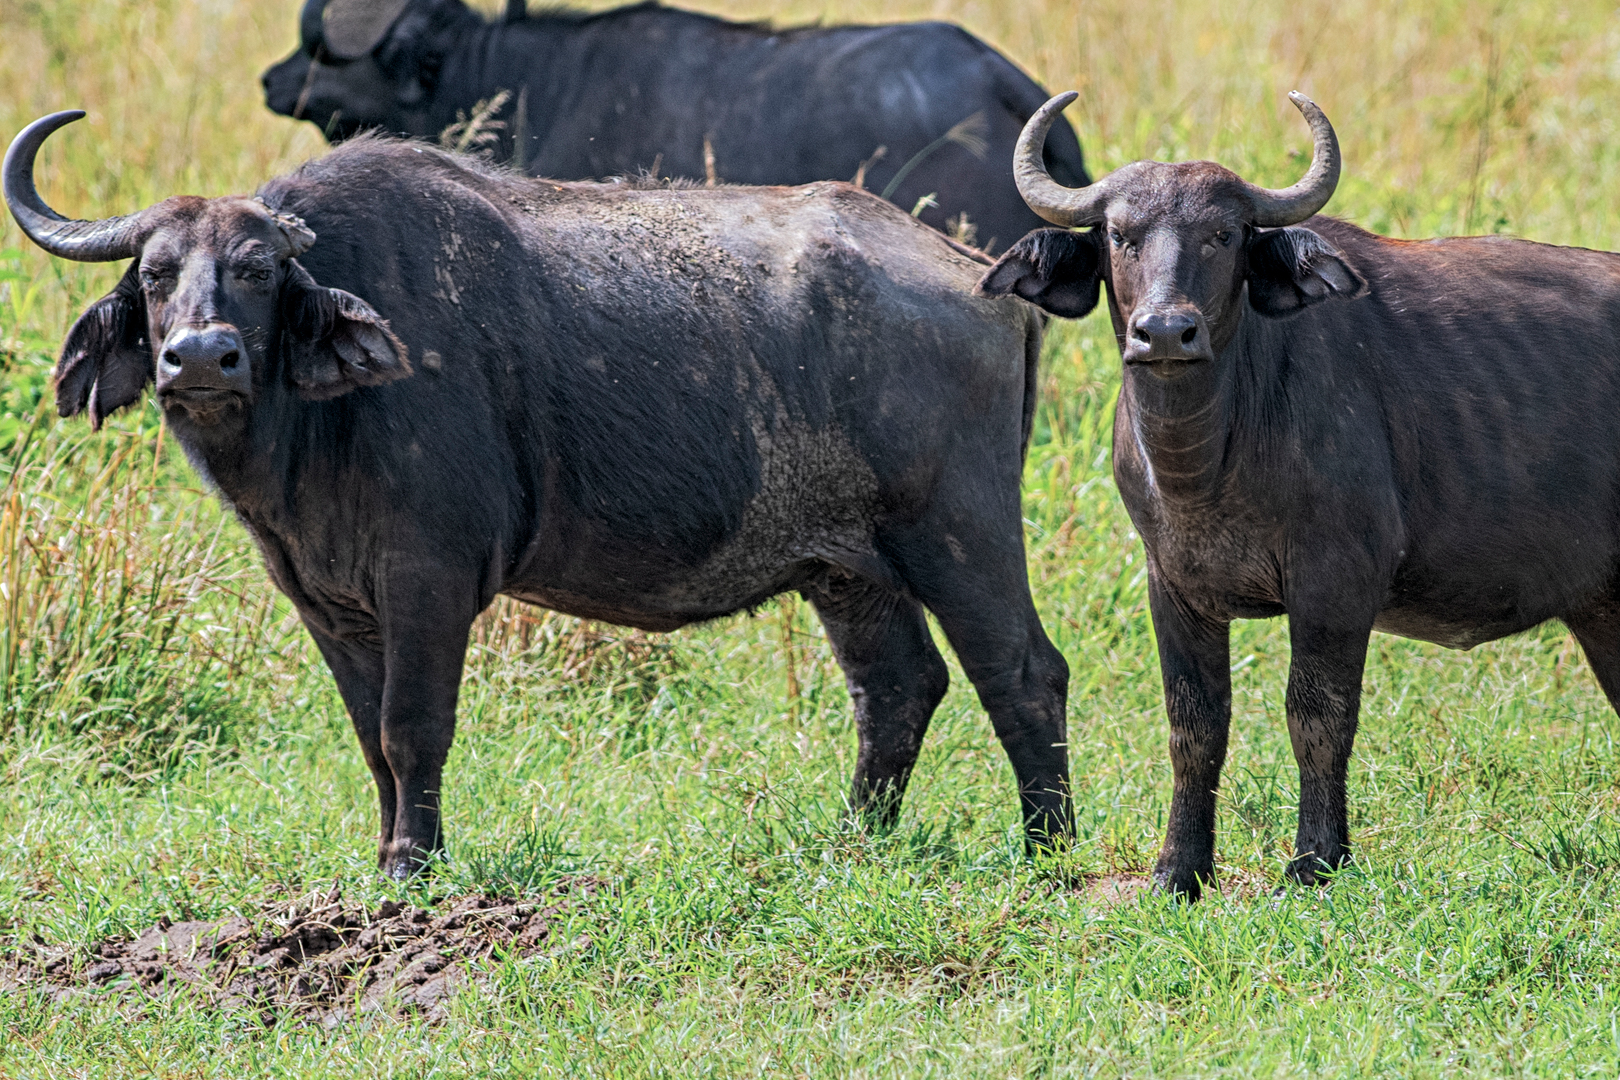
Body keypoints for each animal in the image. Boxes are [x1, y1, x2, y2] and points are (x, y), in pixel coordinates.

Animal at [9, 110, 1075, 880]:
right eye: (154, 275)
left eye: (261, 269)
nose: (201, 357)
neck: (322, 421)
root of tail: (982, 280)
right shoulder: (329, 605)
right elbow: (370, 741)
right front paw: (386, 854)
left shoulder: (429, 580)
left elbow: (411, 727)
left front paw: (413, 867)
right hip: (846, 569)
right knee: (897, 689)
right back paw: (854, 843)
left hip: (958, 533)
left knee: (1024, 673)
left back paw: (1048, 853)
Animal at [978, 95, 1620, 906]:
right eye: (1121, 236)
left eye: (1222, 234)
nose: (1166, 332)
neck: (1212, 458)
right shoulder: (1173, 588)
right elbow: (1194, 726)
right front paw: (1179, 868)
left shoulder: (1335, 582)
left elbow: (1316, 716)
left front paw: (1316, 859)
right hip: (1604, 609)